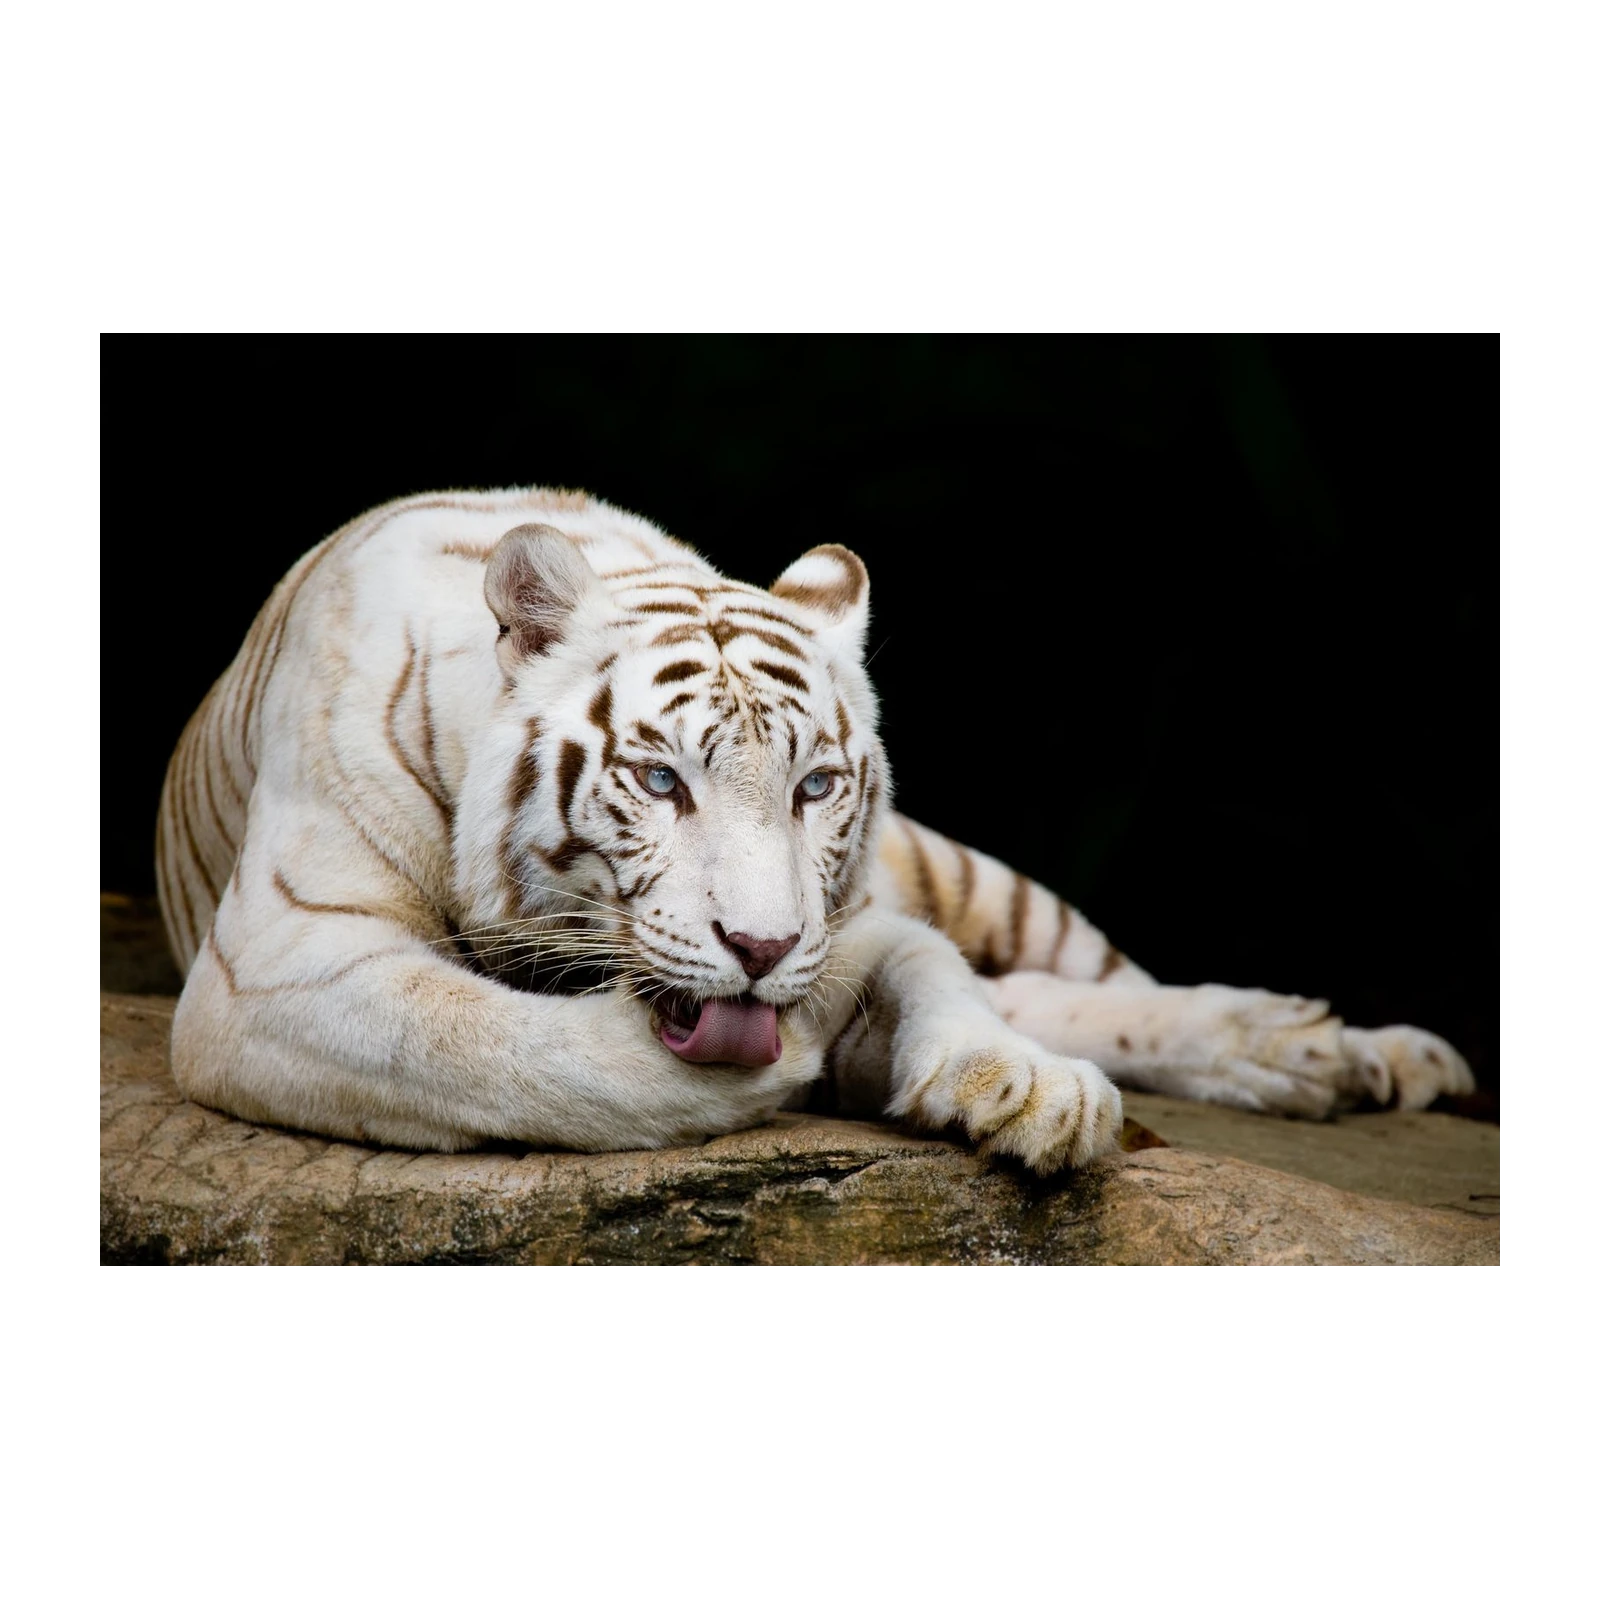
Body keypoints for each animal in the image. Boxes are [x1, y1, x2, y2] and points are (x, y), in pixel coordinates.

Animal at [155, 487, 1474, 1173]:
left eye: (815, 788)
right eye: (660, 780)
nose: (760, 949)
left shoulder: (863, 916)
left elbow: (935, 971)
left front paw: (1028, 1088)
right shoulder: (278, 966)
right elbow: (486, 1043)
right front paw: (781, 1066)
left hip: (967, 873)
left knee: (1090, 980)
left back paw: (1342, 1051)